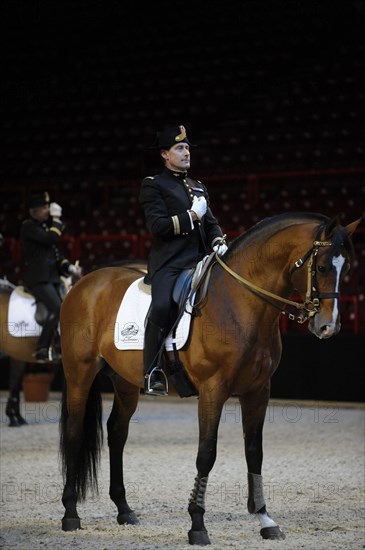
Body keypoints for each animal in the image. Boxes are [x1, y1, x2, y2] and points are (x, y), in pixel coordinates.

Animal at [59, 213, 358, 544]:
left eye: (347, 268)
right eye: (322, 267)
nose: (329, 326)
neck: (241, 303)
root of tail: (84, 283)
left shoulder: (258, 391)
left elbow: (254, 452)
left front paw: (265, 518)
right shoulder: (213, 390)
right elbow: (206, 454)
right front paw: (197, 524)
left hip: (125, 382)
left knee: (116, 433)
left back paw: (124, 510)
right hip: (79, 372)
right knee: (74, 433)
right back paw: (70, 513)